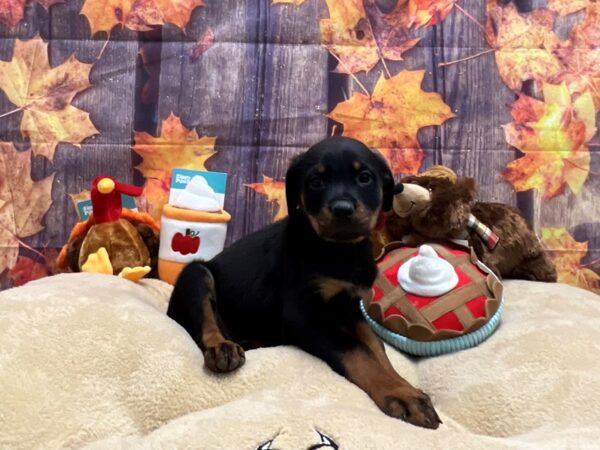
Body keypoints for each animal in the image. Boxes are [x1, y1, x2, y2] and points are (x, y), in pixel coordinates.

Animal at [168, 137, 440, 428]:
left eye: (365, 178)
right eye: (315, 182)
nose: (342, 209)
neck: (340, 252)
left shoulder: (351, 307)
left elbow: (376, 348)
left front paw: (405, 386)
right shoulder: (302, 316)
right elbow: (356, 351)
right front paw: (401, 395)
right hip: (196, 273)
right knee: (204, 320)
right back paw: (222, 349)